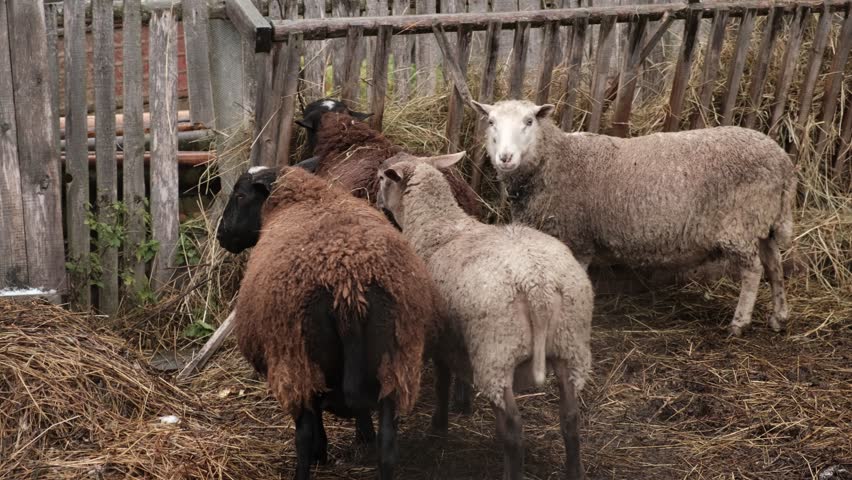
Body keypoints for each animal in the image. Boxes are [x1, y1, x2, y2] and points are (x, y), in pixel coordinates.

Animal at [216, 164, 444, 479]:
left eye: (239, 195)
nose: (221, 235)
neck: (300, 198)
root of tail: (348, 284)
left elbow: (314, 423)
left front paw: (322, 454)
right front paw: (363, 437)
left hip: (296, 359)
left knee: (304, 432)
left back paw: (306, 465)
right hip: (396, 360)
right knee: (387, 441)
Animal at [377, 151, 594, 480]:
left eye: (381, 179)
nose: (377, 203)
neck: (438, 227)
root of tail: (538, 287)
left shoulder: (440, 336)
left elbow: (442, 382)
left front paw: (438, 428)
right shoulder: (457, 337)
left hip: (496, 351)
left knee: (514, 427)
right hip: (571, 347)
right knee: (570, 418)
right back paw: (574, 470)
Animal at [471, 99, 796, 337]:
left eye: (529, 122)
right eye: (491, 122)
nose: (505, 158)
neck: (556, 160)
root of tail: (783, 161)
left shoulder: (578, 239)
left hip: (740, 224)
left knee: (753, 271)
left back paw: (740, 323)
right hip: (763, 220)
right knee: (774, 264)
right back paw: (779, 317)